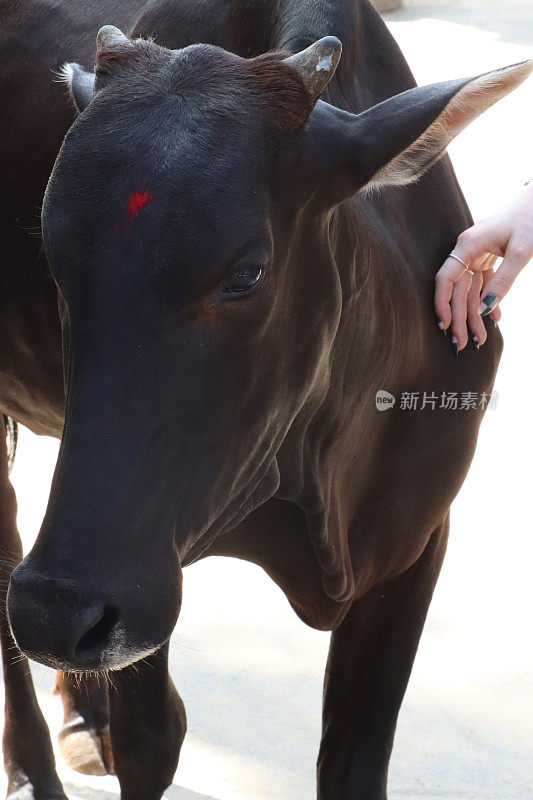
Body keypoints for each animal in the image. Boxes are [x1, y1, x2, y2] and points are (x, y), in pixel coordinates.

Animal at [2, 1, 528, 800]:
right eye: (56, 264)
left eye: (246, 274)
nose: (54, 611)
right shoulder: (144, 575)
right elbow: (154, 741)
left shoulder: (415, 541)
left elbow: (353, 761)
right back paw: (34, 764)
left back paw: (82, 722)